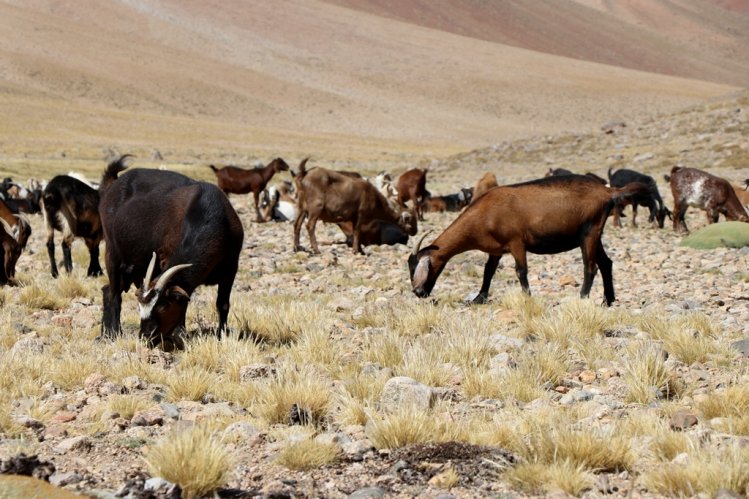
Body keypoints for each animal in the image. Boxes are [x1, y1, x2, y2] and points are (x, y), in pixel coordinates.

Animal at [99, 155, 244, 348]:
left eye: (164, 307)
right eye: (140, 307)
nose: (145, 337)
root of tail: (112, 186)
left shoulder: (231, 268)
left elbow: (223, 304)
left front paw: (222, 336)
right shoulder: (166, 260)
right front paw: (179, 335)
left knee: (107, 290)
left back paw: (106, 332)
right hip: (113, 254)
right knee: (114, 294)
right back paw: (115, 332)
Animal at [406, 176, 652, 308]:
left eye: (425, 265)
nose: (418, 292)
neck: (485, 213)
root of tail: (609, 192)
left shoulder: (517, 243)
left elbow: (521, 271)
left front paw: (527, 298)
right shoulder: (496, 249)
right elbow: (488, 272)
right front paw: (478, 298)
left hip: (589, 233)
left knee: (590, 267)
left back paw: (582, 297)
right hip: (594, 235)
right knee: (606, 263)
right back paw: (608, 301)